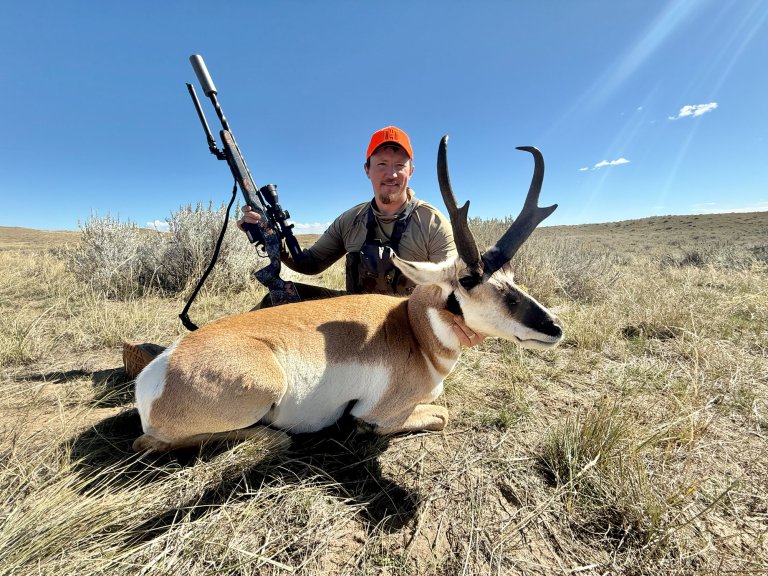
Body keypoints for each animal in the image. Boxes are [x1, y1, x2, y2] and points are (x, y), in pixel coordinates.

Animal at [133, 136, 563, 452]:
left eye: (511, 274)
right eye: (470, 281)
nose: (555, 327)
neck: (413, 329)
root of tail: (157, 373)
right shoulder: (383, 412)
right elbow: (442, 414)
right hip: (264, 385)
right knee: (149, 443)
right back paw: (275, 437)